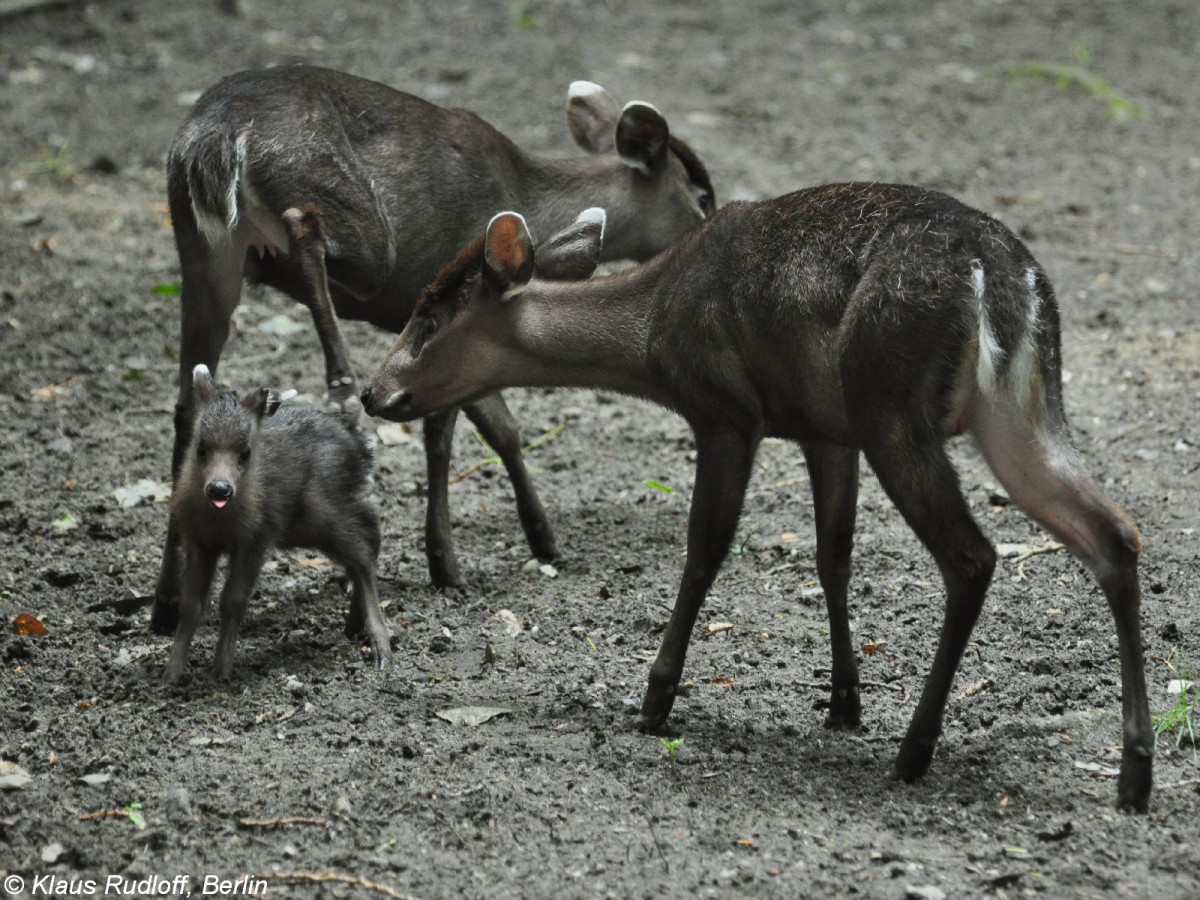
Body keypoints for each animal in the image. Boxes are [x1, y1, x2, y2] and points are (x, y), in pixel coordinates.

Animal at [357, 187, 1152, 816]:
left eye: (430, 319)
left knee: (973, 555)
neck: (652, 333)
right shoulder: (823, 430)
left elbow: (704, 550)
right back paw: (1134, 774)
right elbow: (833, 557)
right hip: (1014, 410)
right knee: (1115, 533)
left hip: (891, 402)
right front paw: (844, 701)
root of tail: (1003, 276)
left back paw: (915, 751)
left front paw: (656, 698)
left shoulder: (727, 412)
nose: (371, 391)